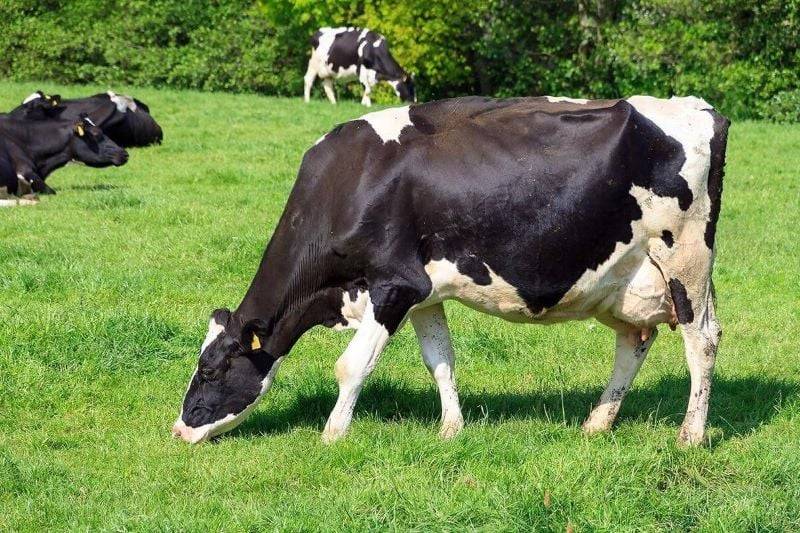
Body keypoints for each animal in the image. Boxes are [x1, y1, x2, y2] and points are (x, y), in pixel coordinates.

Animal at [173, 95, 729, 447]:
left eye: (210, 369)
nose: (179, 430)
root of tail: (699, 108)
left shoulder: (395, 285)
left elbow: (352, 366)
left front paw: (332, 435)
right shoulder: (425, 294)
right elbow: (440, 359)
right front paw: (451, 429)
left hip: (686, 261)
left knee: (702, 341)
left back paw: (691, 436)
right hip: (625, 280)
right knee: (634, 341)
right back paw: (597, 423)